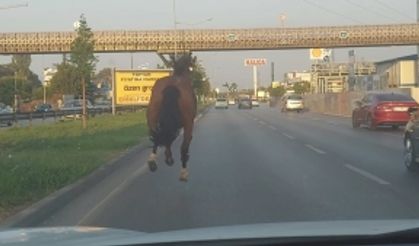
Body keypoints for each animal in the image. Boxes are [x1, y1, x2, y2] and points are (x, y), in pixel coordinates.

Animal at [147, 54, 198, 182]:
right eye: (193, 67)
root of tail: (172, 86)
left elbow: (167, 139)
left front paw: (168, 157)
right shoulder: (188, 122)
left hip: (152, 116)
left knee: (156, 135)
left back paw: (153, 160)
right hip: (188, 123)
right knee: (183, 146)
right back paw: (183, 171)